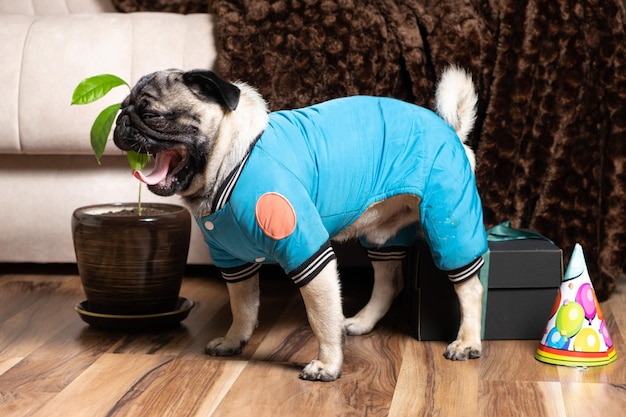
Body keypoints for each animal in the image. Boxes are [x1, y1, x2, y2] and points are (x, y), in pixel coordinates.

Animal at [116, 66, 488, 382]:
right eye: (122, 109)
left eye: (151, 115)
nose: (122, 123)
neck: (231, 162)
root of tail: (451, 130)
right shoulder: (233, 262)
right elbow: (243, 307)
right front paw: (234, 340)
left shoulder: (306, 252)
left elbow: (320, 318)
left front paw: (328, 364)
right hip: (384, 236)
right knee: (389, 281)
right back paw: (362, 322)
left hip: (449, 220)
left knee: (469, 287)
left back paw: (467, 342)